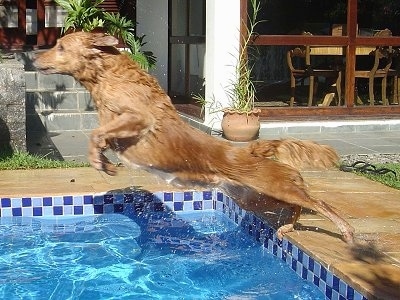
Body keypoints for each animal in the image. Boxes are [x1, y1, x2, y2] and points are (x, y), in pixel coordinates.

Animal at [33, 32, 354, 244]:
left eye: (60, 46)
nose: (34, 56)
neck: (105, 77)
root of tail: (251, 151)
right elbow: (101, 136)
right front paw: (104, 161)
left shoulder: (139, 119)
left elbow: (97, 132)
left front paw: (97, 160)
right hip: (254, 198)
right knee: (298, 207)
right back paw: (288, 228)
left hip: (276, 188)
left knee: (320, 204)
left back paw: (347, 231)